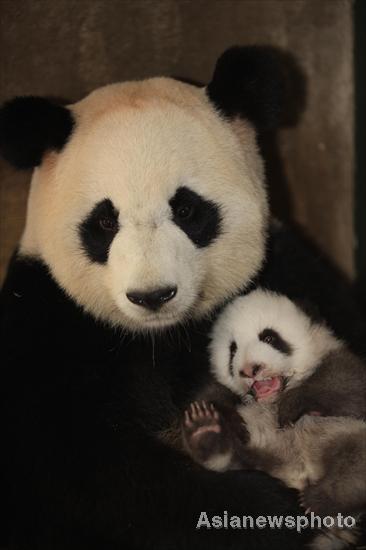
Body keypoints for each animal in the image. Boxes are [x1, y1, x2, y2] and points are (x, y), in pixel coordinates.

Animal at [0, 47, 364, 550]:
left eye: (187, 209)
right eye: (105, 222)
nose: (152, 295)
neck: (162, 334)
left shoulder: (293, 270)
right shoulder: (48, 326)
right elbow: (95, 476)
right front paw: (268, 507)